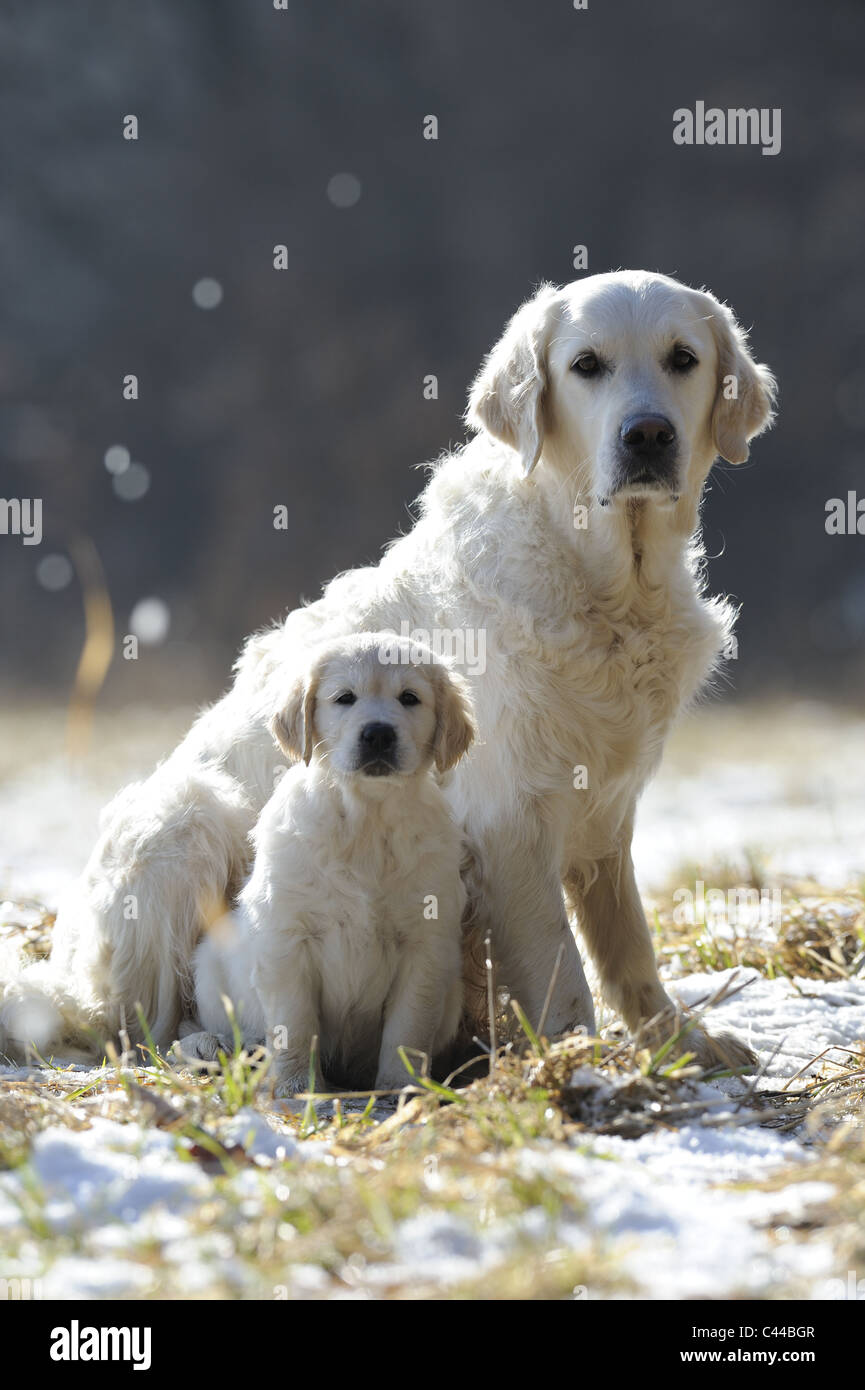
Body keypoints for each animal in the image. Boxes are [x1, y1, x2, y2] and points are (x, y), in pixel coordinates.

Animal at [184, 633, 478, 1095]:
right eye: (344, 698)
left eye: (410, 698)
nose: (378, 734)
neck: (366, 819)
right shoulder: (287, 939)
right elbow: (295, 1024)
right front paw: (296, 1087)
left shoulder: (426, 946)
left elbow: (408, 1029)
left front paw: (400, 1087)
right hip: (211, 963)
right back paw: (216, 1045)